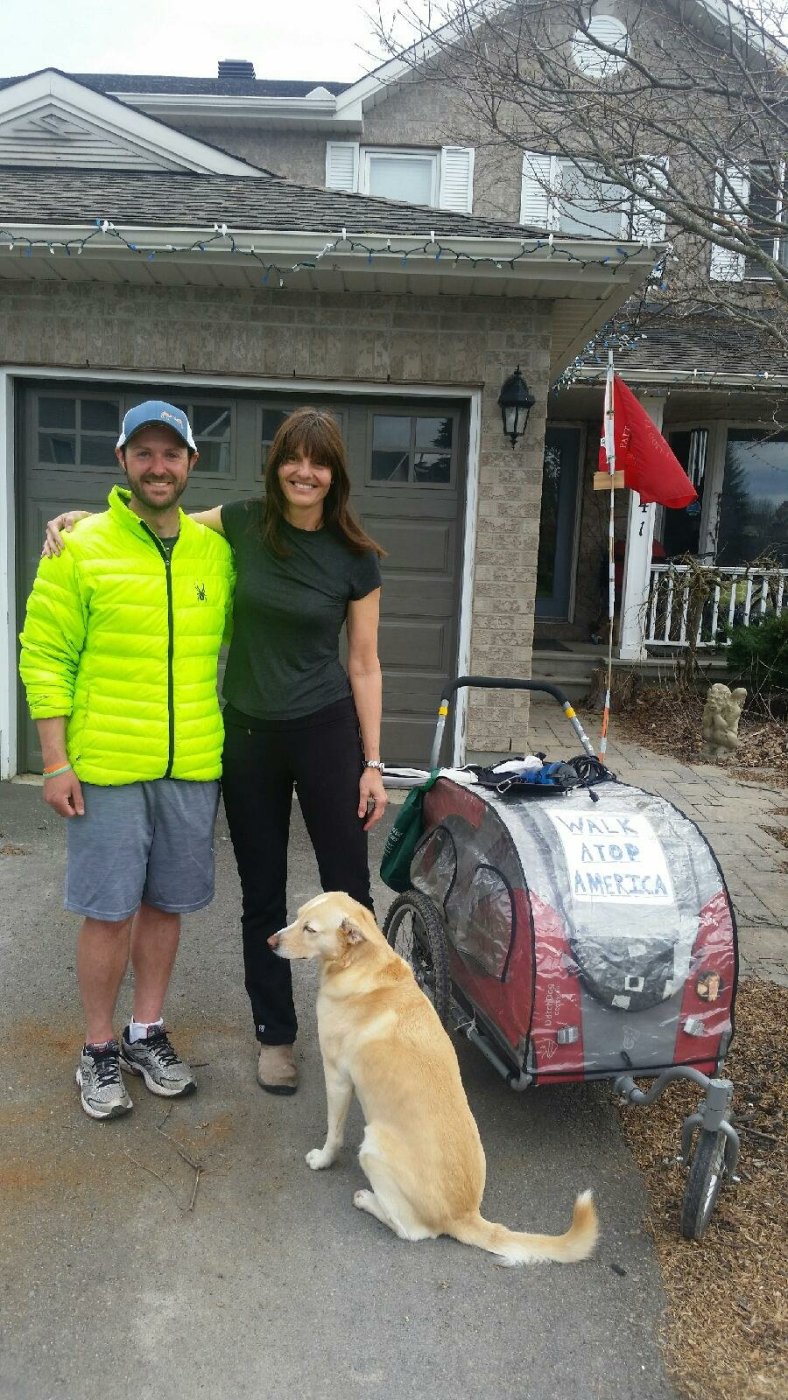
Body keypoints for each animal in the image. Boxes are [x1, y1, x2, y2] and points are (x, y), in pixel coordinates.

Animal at [269, 892, 598, 1265]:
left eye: (309, 929)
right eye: (296, 917)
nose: (270, 942)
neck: (363, 965)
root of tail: (465, 1215)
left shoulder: (337, 1076)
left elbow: (334, 1134)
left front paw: (322, 1160)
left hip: (373, 1146)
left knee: (412, 1231)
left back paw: (368, 1200)